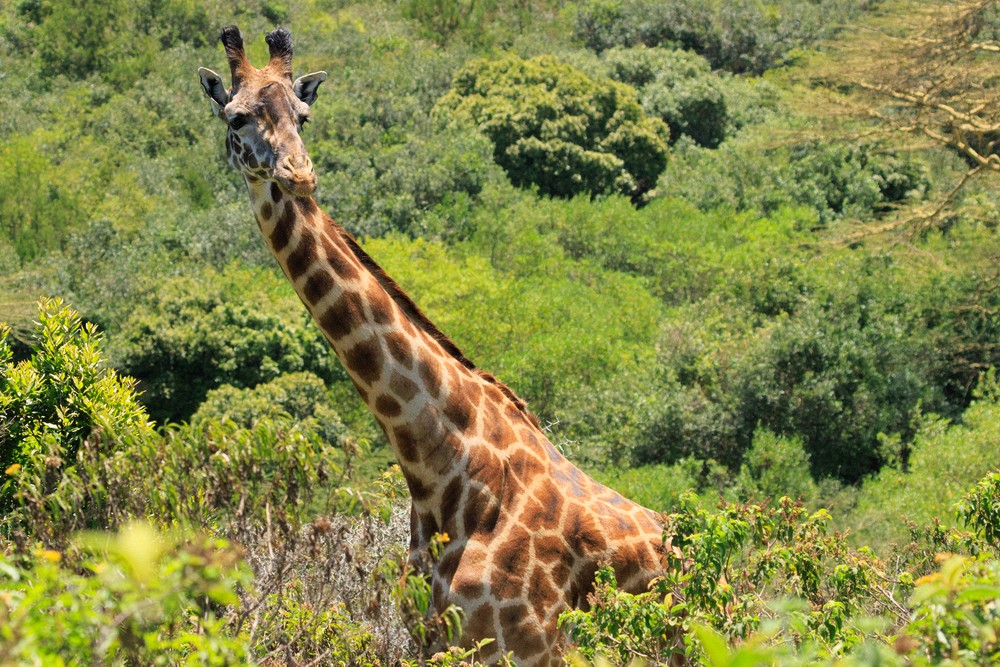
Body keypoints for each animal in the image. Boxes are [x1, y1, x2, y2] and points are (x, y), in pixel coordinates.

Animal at [198, 26, 669, 666]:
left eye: (303, 115)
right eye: (237, 117)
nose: (298, 173)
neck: (441, 470)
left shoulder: (514, 646)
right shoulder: (428, 640)